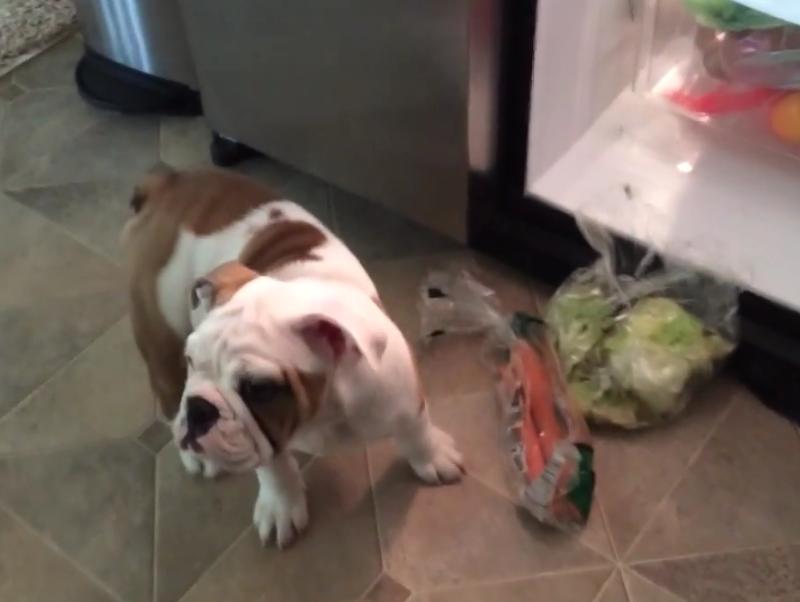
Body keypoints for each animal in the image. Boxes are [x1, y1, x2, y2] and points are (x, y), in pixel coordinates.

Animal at [123, 166, 462, 548]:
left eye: (259, 388)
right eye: (193, 361)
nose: (199, 408)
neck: (323, 410)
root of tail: (170, 180)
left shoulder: (403, 396)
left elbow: (417, 430)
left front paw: (433, 456)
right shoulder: (260, 438)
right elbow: (274, 467)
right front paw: (281, 506)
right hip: (160, 337)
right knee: (168, 398)